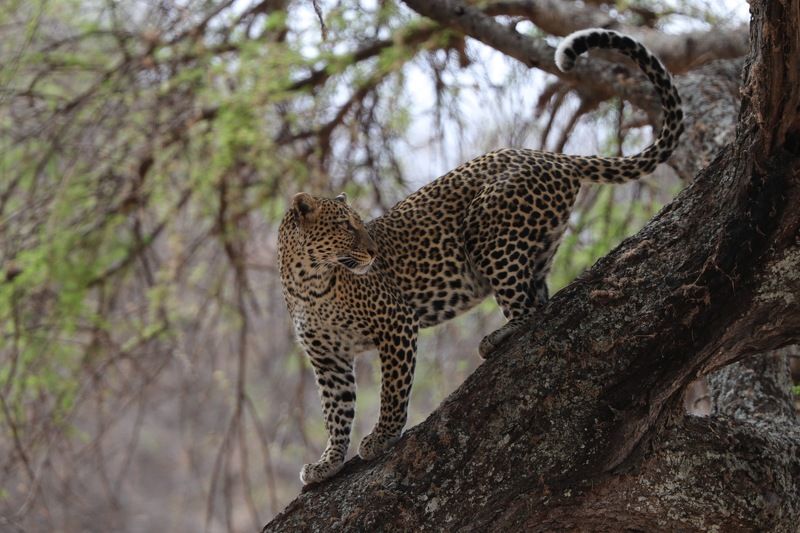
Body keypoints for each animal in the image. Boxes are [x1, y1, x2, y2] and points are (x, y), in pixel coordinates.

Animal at [277, 28, 684, 485]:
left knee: (530, 311)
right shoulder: (328, 359)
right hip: (534, 244)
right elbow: (337, 412)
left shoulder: (396, 323)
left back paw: (499, 337)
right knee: (540, 296)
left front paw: (381, 438)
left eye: (360, 224)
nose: (372, 251)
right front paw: (328, 462)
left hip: (489, 234)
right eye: (347, 226)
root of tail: (548, 155)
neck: (309, 282)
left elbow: (393, 391)